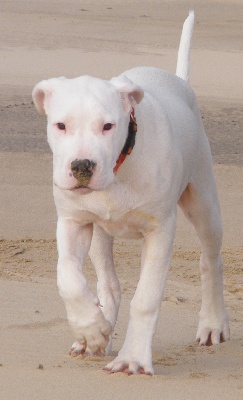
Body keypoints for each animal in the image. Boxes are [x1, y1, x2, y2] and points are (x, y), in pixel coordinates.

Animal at [32, 12, 230, 376]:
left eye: (108, 126)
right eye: (60, 125)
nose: (82, 166)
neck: (120, 169)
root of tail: (179, 83)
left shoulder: (160, 230)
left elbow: (146, 299)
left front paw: (134, 358)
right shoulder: (72, 221)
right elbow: (68, 276)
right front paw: (91, 329)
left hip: (204, 203)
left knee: (211, 260)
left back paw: (212, 324)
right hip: (99, 232)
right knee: (108, 284)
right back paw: (97, 331)